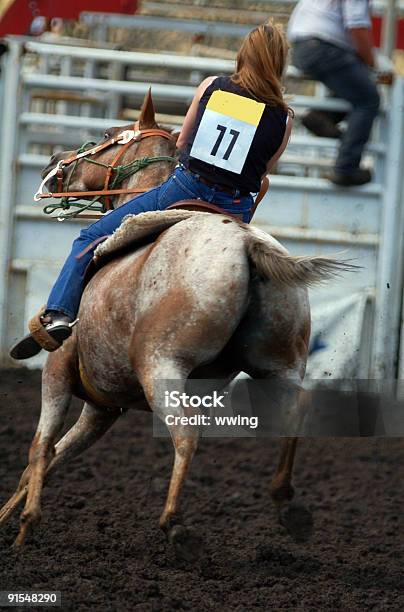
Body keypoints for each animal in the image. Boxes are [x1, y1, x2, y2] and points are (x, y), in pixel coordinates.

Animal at [0, 91, 350, 560]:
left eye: (109, 134)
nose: (55, 161)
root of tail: (245, 243)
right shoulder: (102, 407)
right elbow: (56, 455)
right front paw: (9, 517)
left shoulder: (59, 373)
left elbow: (40, 447)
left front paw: (25, 525)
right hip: (278, 364)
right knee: (298, 408)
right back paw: (286, 505)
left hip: (161, 367)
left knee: (185, 435)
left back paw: (175, 525)